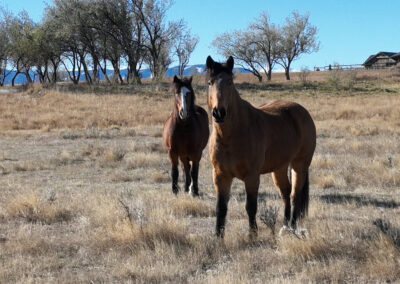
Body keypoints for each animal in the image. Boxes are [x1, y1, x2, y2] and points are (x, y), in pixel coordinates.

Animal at [206, 55, 316, 237]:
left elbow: (251, 207)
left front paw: (253, 236)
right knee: (285, 193)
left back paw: (292, 228)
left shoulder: (252, 176)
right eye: (210, 82)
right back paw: (284, 226)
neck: (232, 135)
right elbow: (221, 209)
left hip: (299, 165)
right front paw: (218, 238)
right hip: (279, 167)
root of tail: (302, 111)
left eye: (230, 82)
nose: (219, 113)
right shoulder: (220, 176)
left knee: (295, 195)